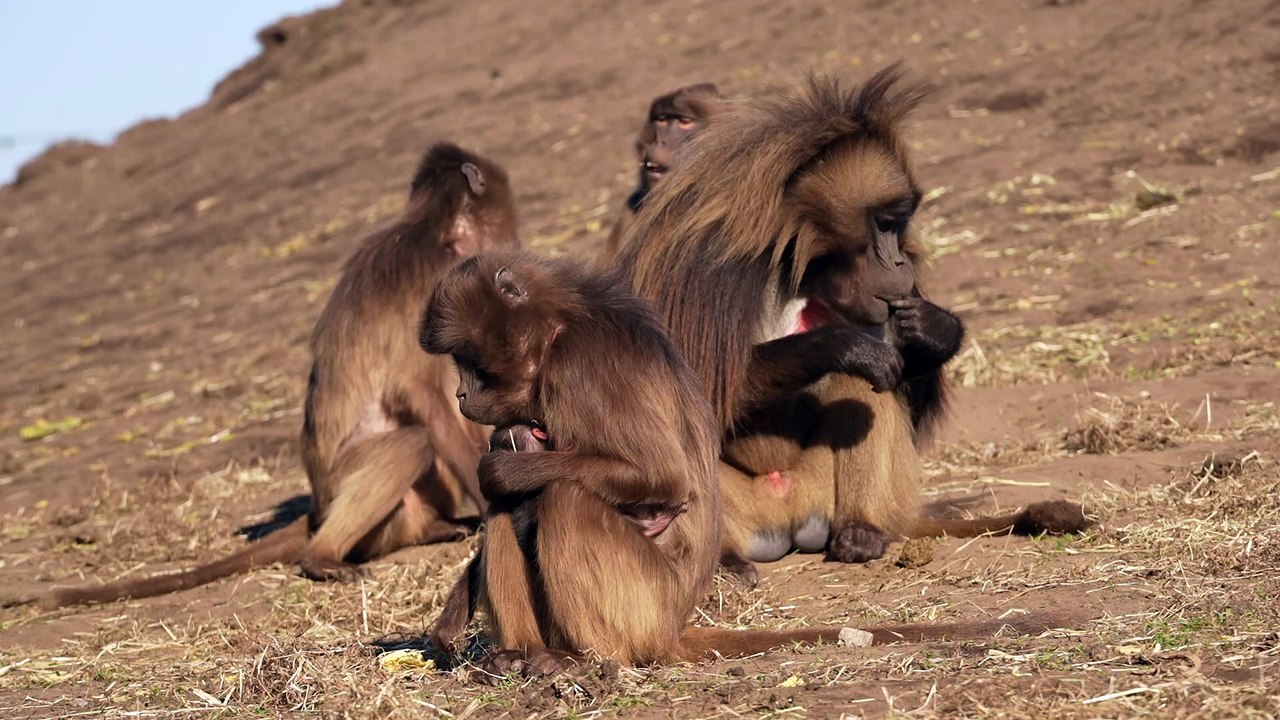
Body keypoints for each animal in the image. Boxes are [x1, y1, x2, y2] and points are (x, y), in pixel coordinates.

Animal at [39, 143, 518, 608]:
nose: (509, 246)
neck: (432, 233)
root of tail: (319, 511)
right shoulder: (433, 285)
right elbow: (417, 391)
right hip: (359, 494)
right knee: (413, 441)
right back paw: (321, 557)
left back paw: (435, 528)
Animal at [420, 250, 1078, 679]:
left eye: (469, 361)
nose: (461, 395)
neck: (558, 326)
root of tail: (672, 628)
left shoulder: (580, 365)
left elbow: (660, 476)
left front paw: (503, 469)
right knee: (517, 508)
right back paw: (521, 656)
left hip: (641, 604)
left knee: (562, 496)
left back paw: (581, 658)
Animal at [614, 65, 1091, 585]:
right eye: (884, 223)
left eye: (899, 225)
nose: (901, 262)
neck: (794, 257)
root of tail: (783, 512)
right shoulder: (706, 262)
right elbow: (695, 389)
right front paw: (844, 344)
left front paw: (936, 331)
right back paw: (725, 560)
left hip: (823, 491)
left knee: (867, 389)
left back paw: (861, 532)